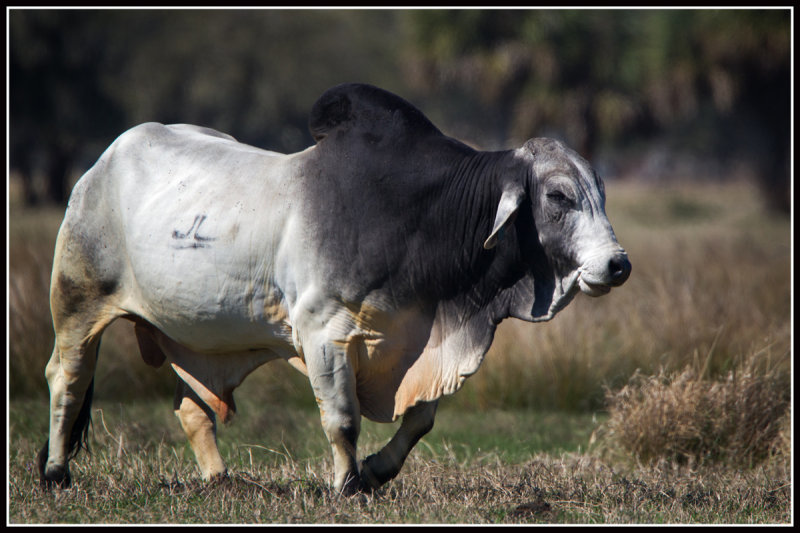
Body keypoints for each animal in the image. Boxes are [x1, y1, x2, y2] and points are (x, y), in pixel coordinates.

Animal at [39, 83, 632, 494]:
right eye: (558, 196)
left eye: (601, 192)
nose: (617, 264)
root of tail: (100, 164)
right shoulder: (324, 332)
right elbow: (343, 419)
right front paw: (347, 485)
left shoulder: (422, 339)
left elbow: (421, 418)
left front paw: (375, 472)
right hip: (77, 302)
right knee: (67, 378)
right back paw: (55, 473)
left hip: (193, 337)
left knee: (192, 407)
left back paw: (220, 480)